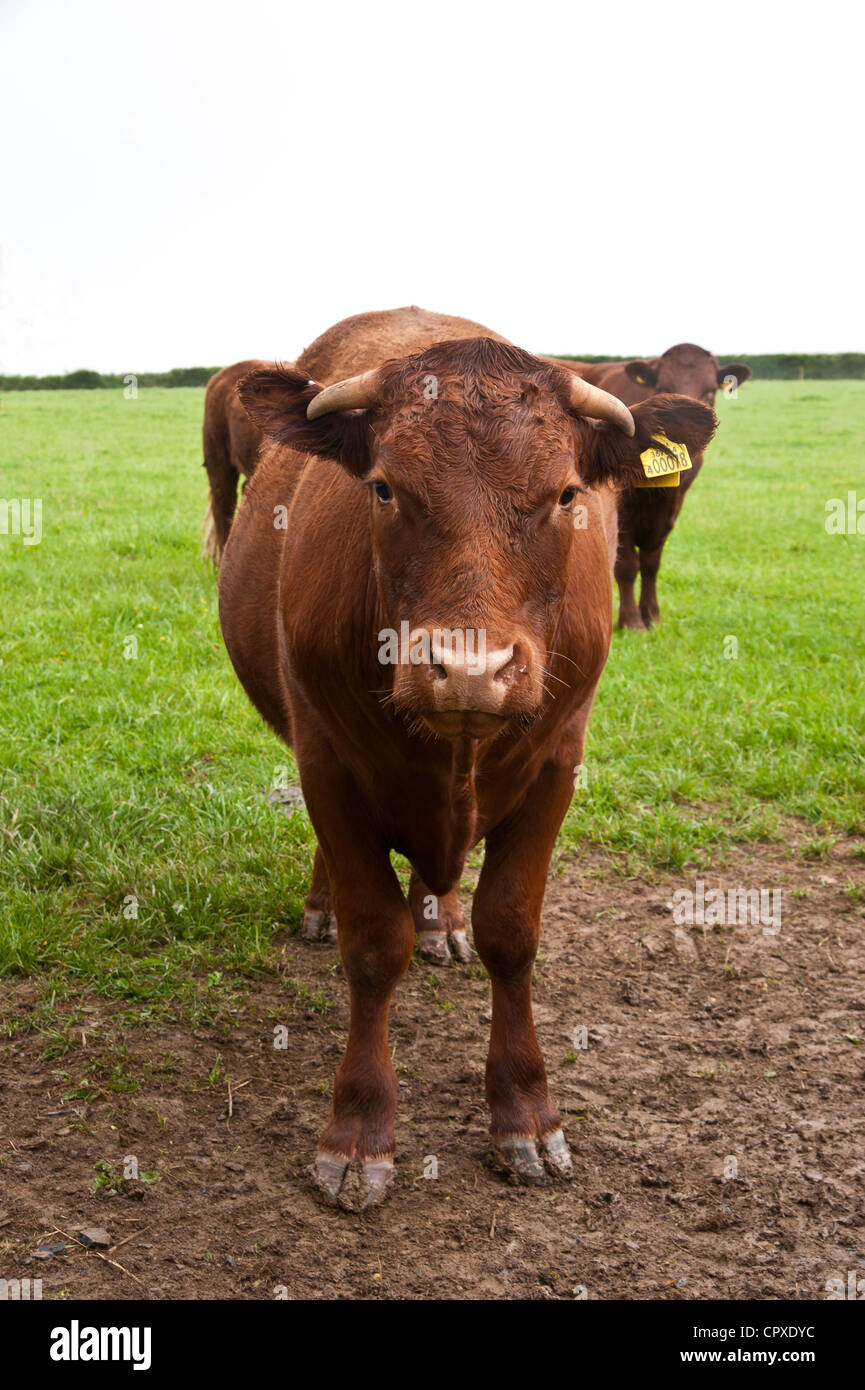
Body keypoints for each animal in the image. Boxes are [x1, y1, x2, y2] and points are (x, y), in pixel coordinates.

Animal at [218, 306, 716, 1210]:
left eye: (565, 494)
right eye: (383, 487)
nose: (471, 670)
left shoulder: (557, 764)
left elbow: (510, 933)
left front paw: (526, 1114)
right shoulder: (327, 762)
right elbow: (372, 945)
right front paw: (358, 1131)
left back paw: (440, 919)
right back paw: (323, 906)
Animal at [548, 345, 751, 629]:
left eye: (711, 390)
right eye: (662, 386)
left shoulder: (670, 509)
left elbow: (651, 562)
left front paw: (652, 615)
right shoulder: (620, 513)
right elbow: (626, 565)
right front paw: (632, 620)